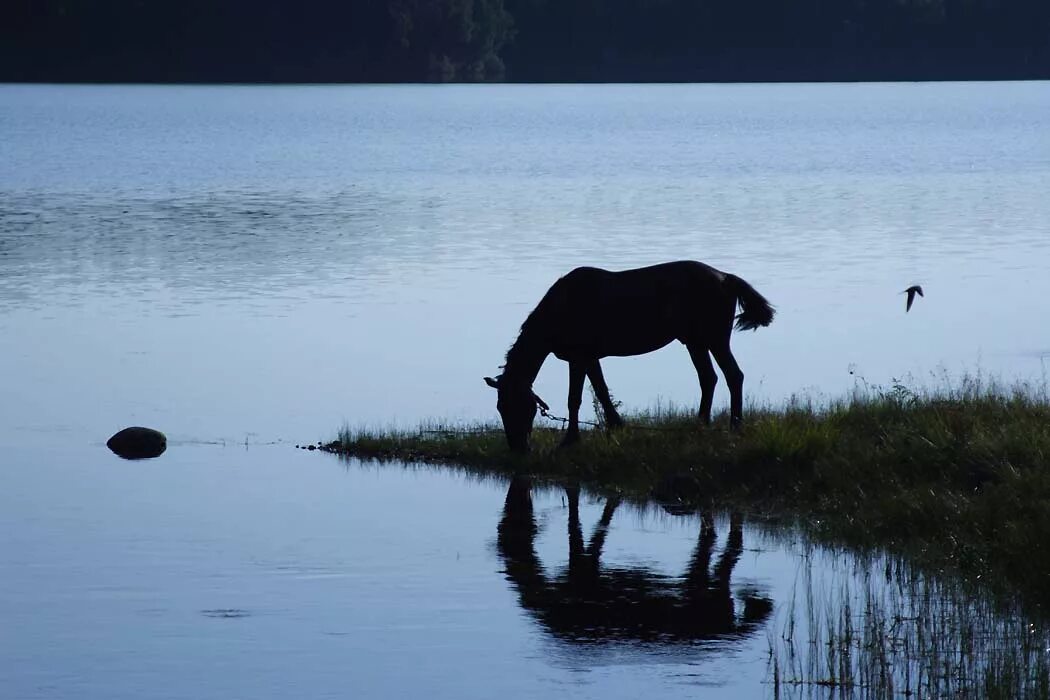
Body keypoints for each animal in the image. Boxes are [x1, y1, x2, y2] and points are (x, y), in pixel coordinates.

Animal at [482, 260, 772, 451]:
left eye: (519, 405)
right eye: (500, 407)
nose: (518, 448)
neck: (560, 309)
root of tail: (725, 277)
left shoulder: (579, 357)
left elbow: (575, 398)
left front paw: (570, 440)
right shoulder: (590, 358)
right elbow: (600, 391)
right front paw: (615, 426)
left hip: (715, 340)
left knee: (733, 375)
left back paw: (735, 427)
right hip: (695, 342)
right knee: (708, 378)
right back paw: (700, 425)